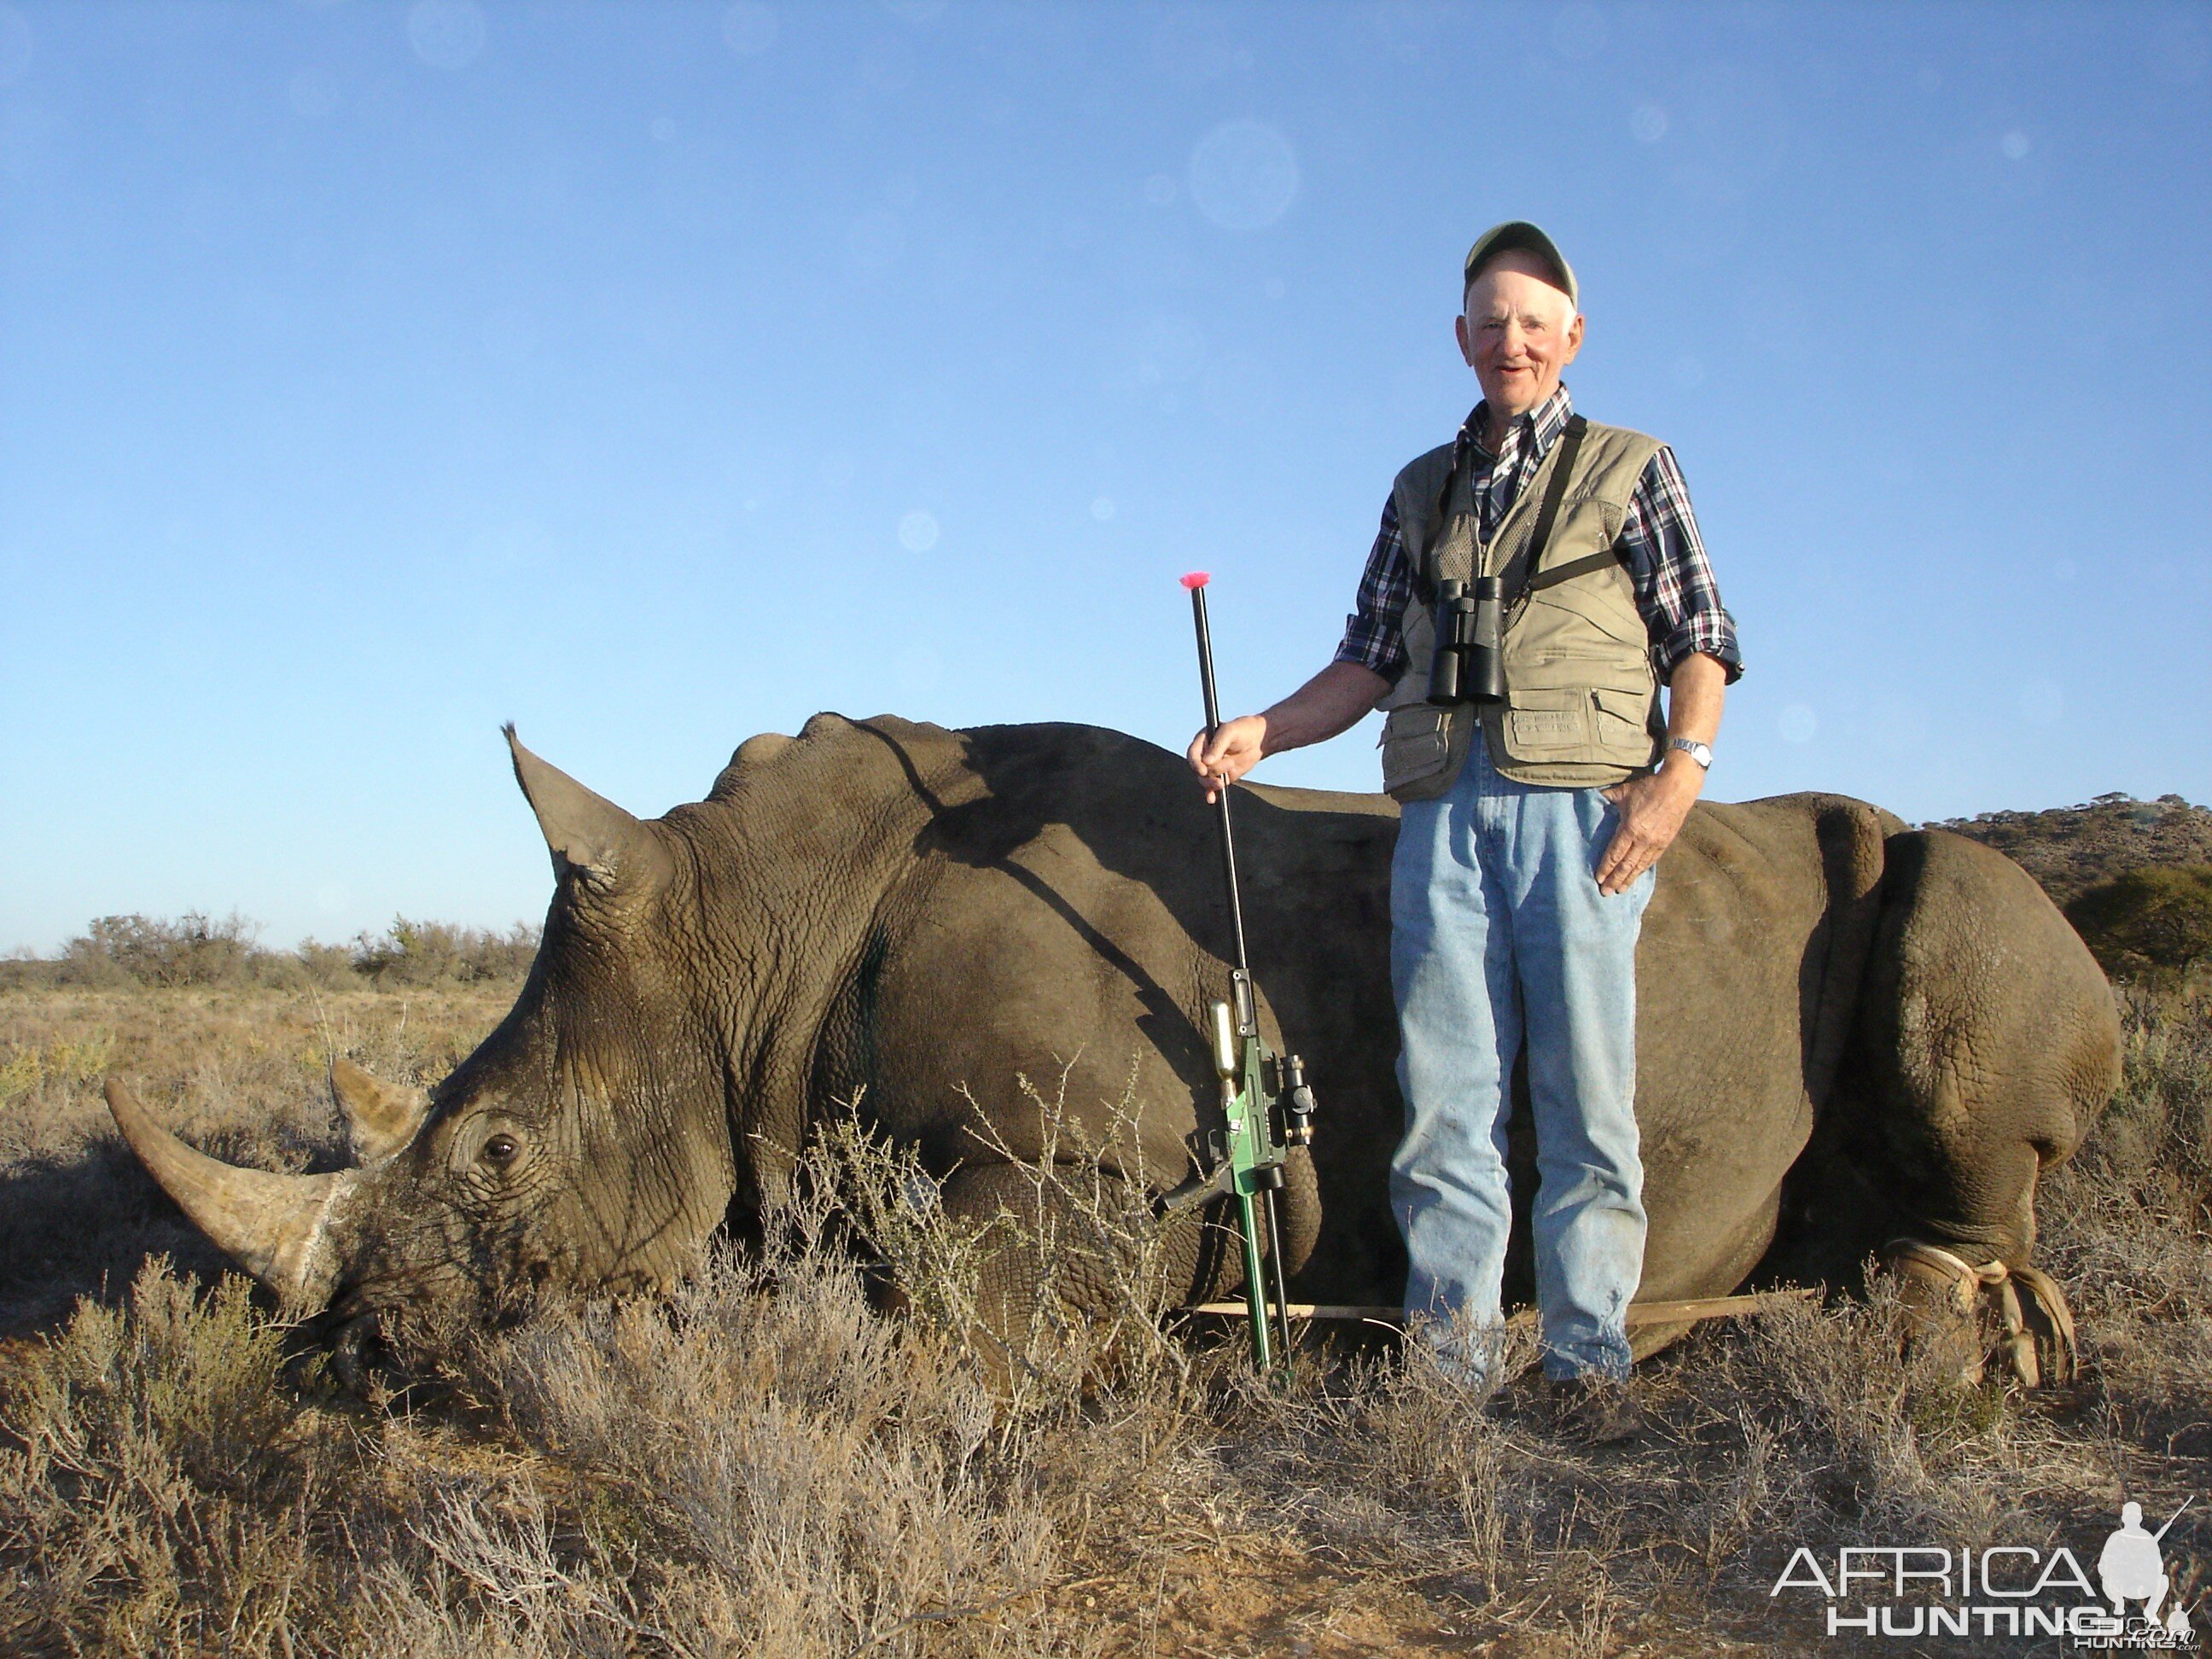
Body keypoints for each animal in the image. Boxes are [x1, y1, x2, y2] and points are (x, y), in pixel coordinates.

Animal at [103, 716, 2123, 1380]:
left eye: (503, 1154)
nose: (365, 1351)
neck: (746, 924)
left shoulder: (1077, 1171)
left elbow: (926, 1328)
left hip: (1975, 892)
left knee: (1957, 929)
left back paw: (1925, 1333)